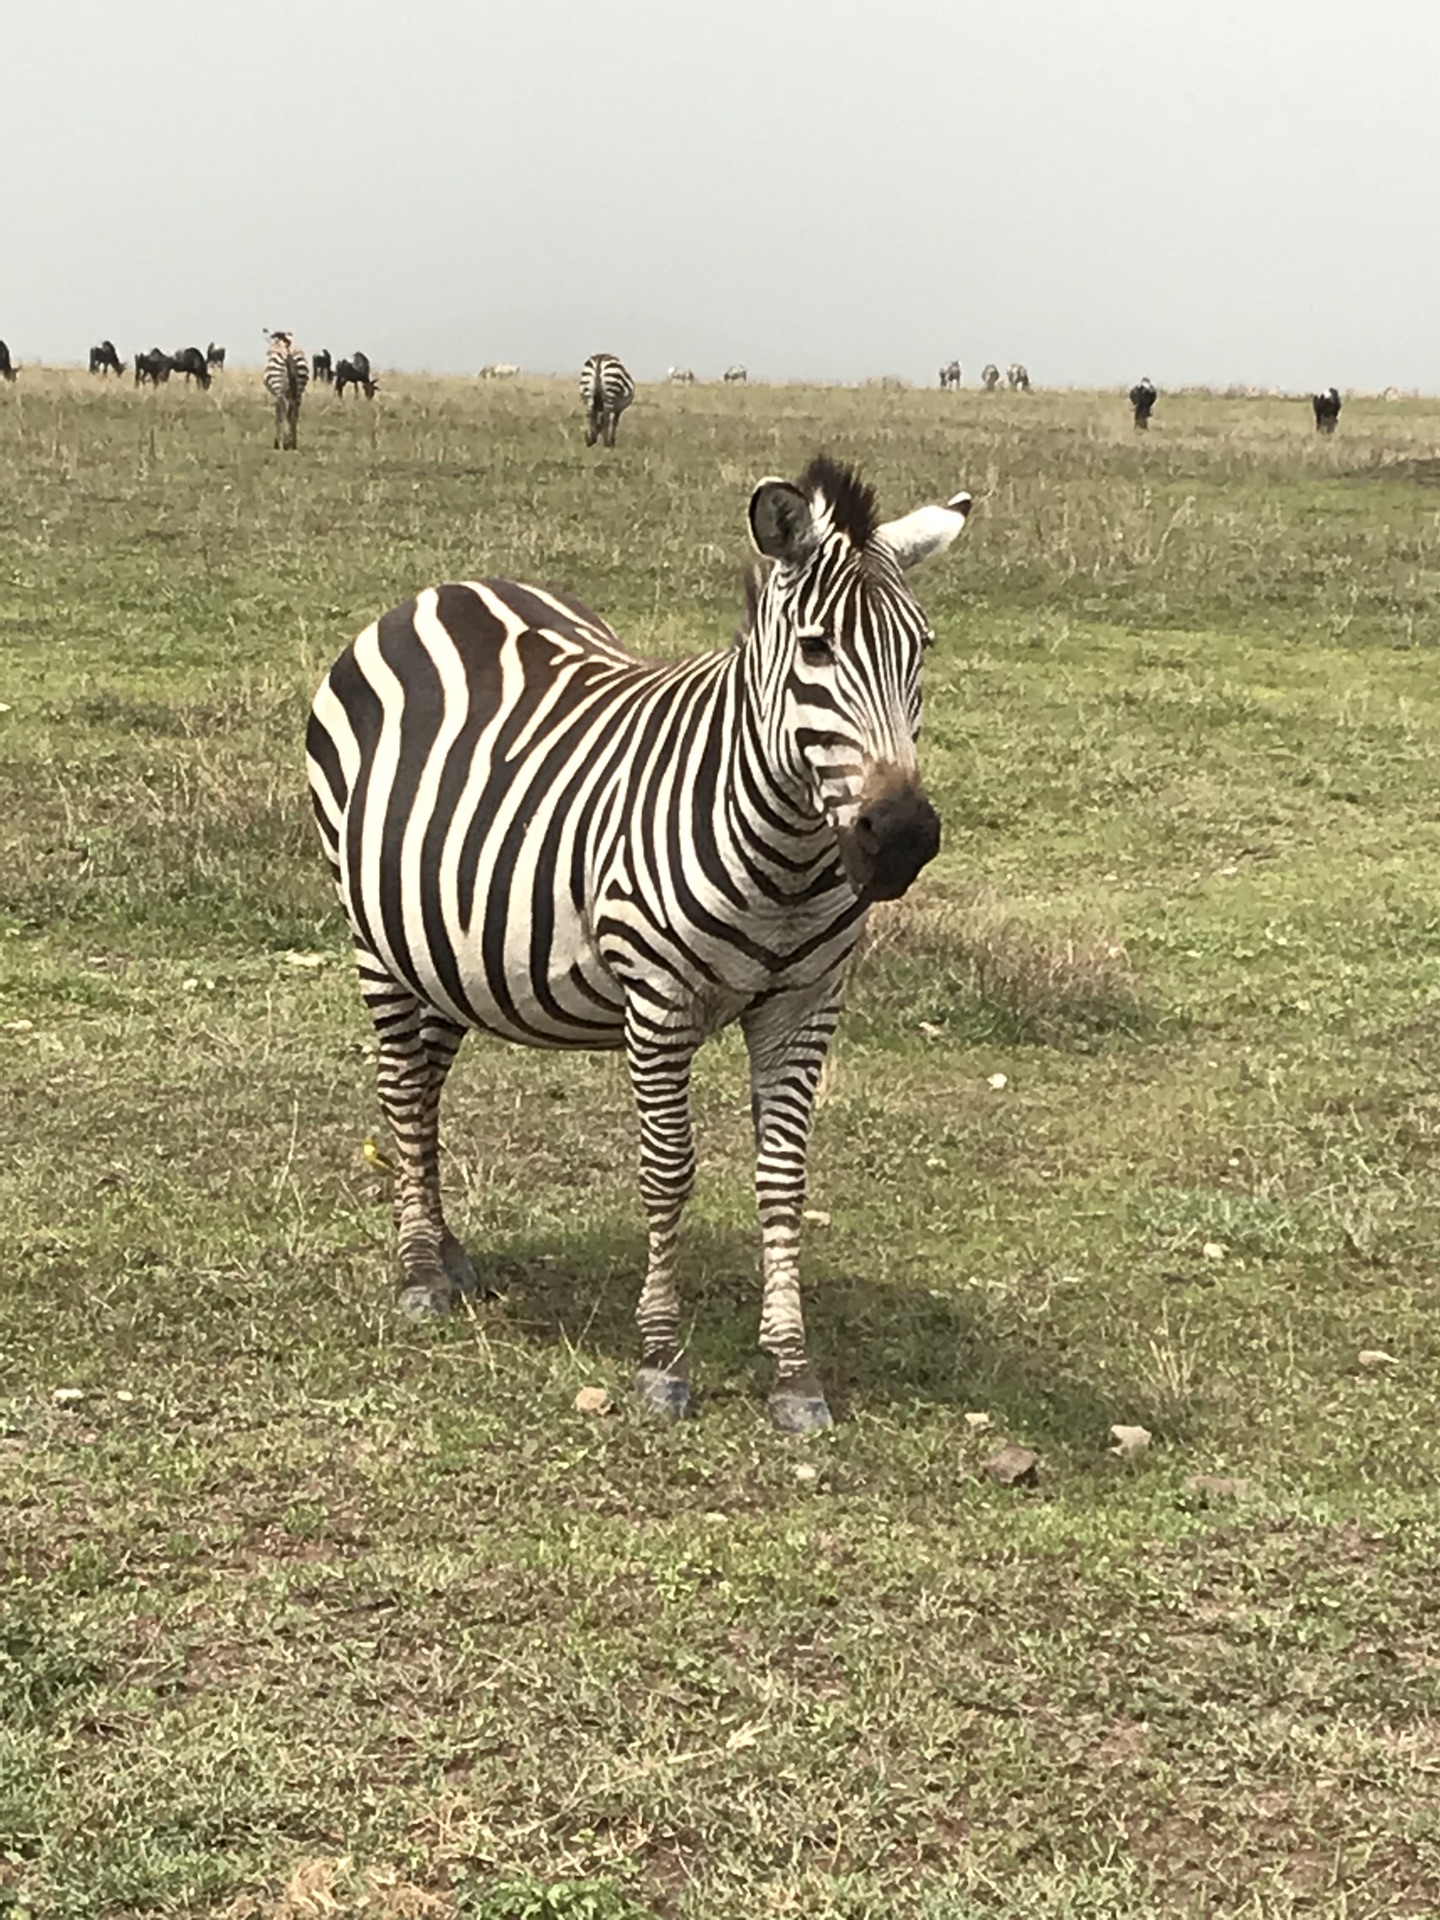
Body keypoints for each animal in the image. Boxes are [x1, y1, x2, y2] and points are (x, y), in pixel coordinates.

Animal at [309, 456, 975, 1436]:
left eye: (920, 649)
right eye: (816, 650)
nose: (900, 839)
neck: (784, 853)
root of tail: (442, 591)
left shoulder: (806, 1004)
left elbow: (784, 1180)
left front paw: (794, 1372)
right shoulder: (658, 1002)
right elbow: (669, 1174)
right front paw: (661, 1357)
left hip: (446, 946)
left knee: (425, 1086)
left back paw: (446, 1248)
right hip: (374, 937)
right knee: (402, 1088)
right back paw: (421, 1270)